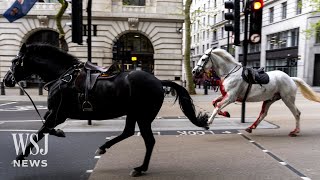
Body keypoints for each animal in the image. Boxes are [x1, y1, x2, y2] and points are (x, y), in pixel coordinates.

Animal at [3, 43, 209, 176]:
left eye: (14, 61)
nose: (6, 80)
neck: (62, 76)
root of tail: (158, 81)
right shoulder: (55, 113)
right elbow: (44, 127)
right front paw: (59, 133)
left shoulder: (58, 113)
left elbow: (39, 132)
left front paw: (20, 157)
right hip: (133, 113)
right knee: (128, 132)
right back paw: (104, 147)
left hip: (143, 116)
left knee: (149, 140)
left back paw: (140, 168)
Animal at [191, 47, 320, 136]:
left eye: (203, 59)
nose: (194, 71)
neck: (230, 73)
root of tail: (290, 78)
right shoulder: (226, 95)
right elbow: (214, 103)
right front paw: (226, 114)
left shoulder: (231, 97)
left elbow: (217, 106)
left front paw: (208, 122)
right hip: (270, 99)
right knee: (263, 114)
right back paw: (251, 127)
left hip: (287, 99)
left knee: (297, 113)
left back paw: (295, 131)